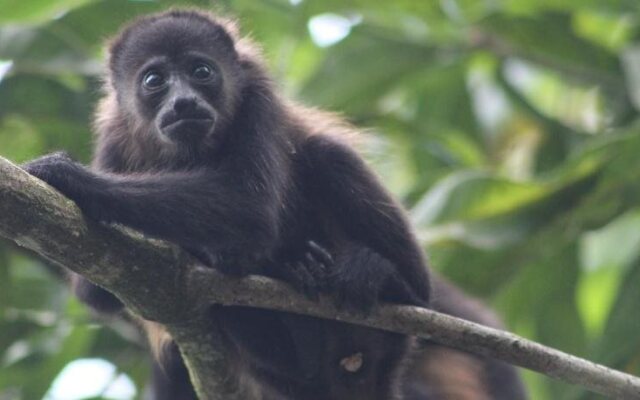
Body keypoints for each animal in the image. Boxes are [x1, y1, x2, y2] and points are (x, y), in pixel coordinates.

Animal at [23, 9, 524, 400]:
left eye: (201, 71)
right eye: (154, 80)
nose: (183, 102)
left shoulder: (256, 96)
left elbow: (249, 207)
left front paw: (70, 175)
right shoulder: (113, 135)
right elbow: (98, 293)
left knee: (328, 154)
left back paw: (387, 280)